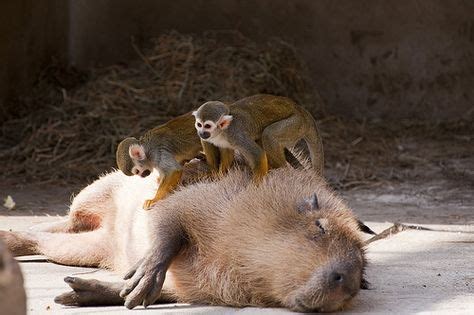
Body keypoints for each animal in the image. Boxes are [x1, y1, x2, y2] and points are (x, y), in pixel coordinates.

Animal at [193, 94, 326, 180]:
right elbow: (227, 153)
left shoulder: (235, 134)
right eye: (199, 124)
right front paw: (220, 174)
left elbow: (257, 154)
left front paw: (255, 187)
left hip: (296, 124)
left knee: (268, 134)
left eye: (207, 126)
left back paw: (279, 169)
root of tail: (303, 111)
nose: (201, 133)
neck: (222, 132)